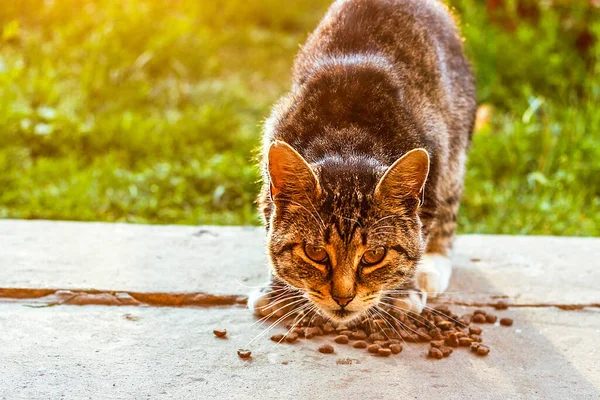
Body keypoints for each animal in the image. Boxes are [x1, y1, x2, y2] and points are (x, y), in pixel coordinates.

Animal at [248, 0, 474, 322]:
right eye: (315, 252)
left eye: (374, 256)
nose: (343, 298)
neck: (348, 138)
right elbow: (270, 226)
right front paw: (277, 290)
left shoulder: (435, 162)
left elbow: (419, 232)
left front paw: (403, 291)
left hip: (455, 145)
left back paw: (433, 266)